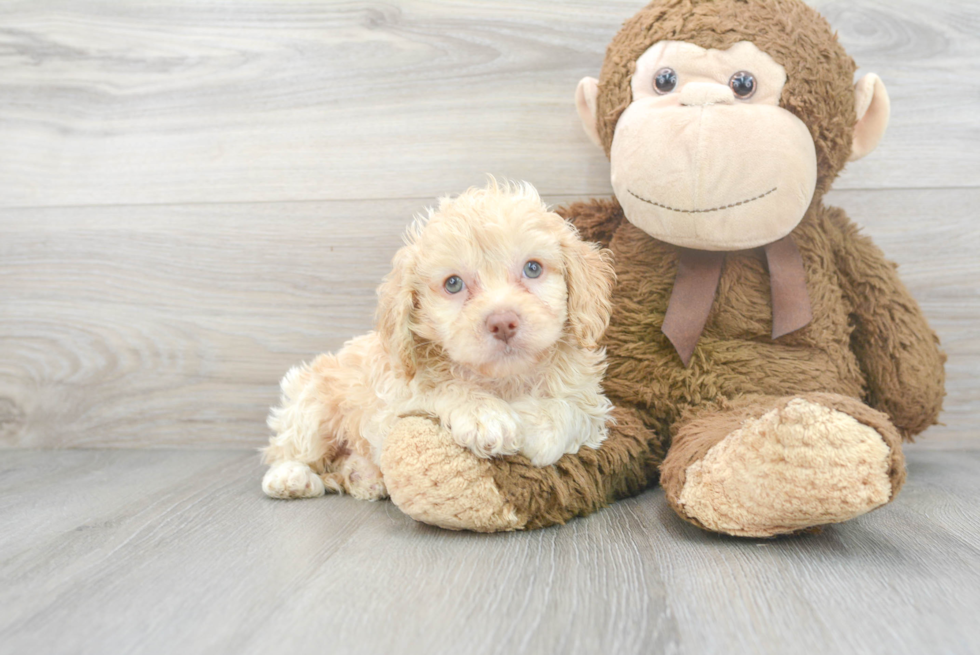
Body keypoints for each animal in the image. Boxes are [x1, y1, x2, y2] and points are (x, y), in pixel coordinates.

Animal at [260, 182, 612, 500]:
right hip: (311, 405)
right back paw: (290, 478)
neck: (504, 380)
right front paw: (485, 414)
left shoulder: (589, 400)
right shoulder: (394, 397)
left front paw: (536, 424)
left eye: (533, 268)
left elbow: (574, 408)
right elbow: (439, 387)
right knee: (288, 448)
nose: (502, 322)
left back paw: (363, 476)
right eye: (453, 284)